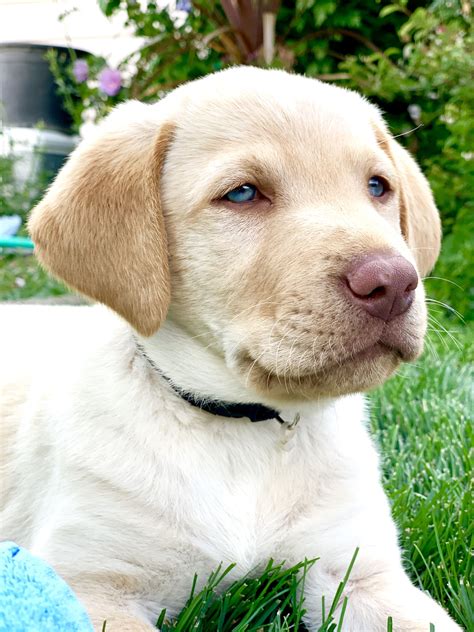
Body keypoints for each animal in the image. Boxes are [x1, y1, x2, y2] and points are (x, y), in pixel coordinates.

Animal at [0, 66, 460, 628]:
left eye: (378, 187)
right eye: (242, 194)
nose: (394, 283)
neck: (245, 427)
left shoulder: (361, 572)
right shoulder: (91, 584)